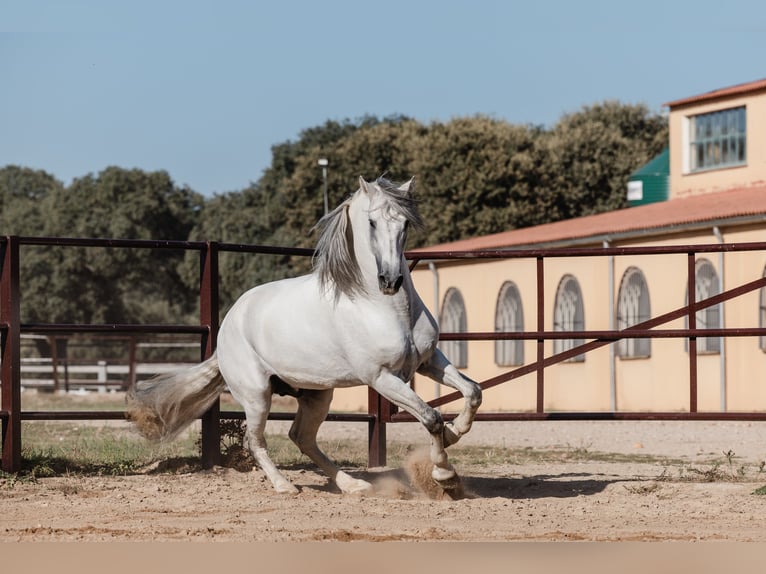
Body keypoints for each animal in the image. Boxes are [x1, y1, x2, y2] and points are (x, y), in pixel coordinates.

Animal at [129, 177, 484, 496]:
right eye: (371, 222)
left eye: (405, 223)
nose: (390, 280)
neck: (385, 308)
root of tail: (227, 327)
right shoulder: (382, 378)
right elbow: (431, 417)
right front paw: (445, 476)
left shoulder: (428, 361)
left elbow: (473, 392)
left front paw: (455, 433)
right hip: (257, 395)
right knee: (256, 440)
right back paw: (285, 486)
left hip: (316, 395)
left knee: (301, 437)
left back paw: (353, 485)